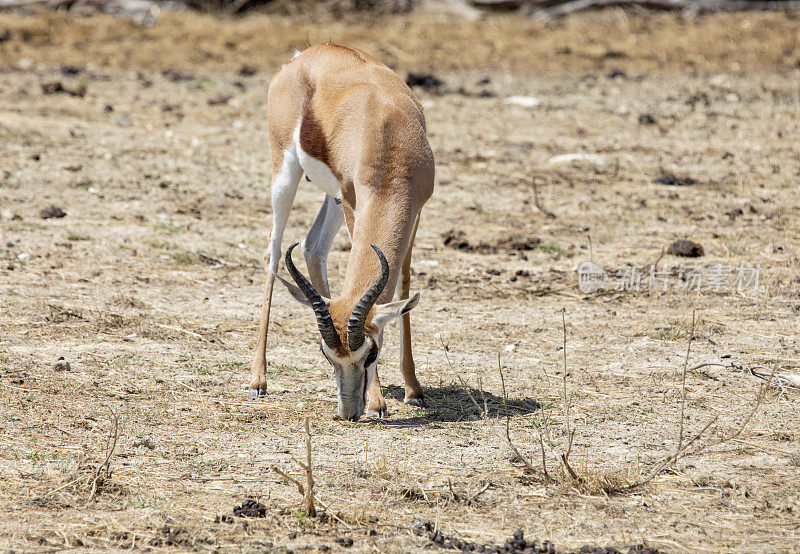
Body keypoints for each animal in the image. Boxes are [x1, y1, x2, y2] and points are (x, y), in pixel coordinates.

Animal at [252, 44, 434, 422]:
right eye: (326, 355)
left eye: (371, 354)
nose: (348, 412)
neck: (388, 135)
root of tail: (304, 56)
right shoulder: (355, 202)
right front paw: (378, 403)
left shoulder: (416, 209)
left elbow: (404, 281)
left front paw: (413, 389)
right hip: (285, 174)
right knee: (273, 252)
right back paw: (258, 380)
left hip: (332, 195)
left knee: (312, 246)